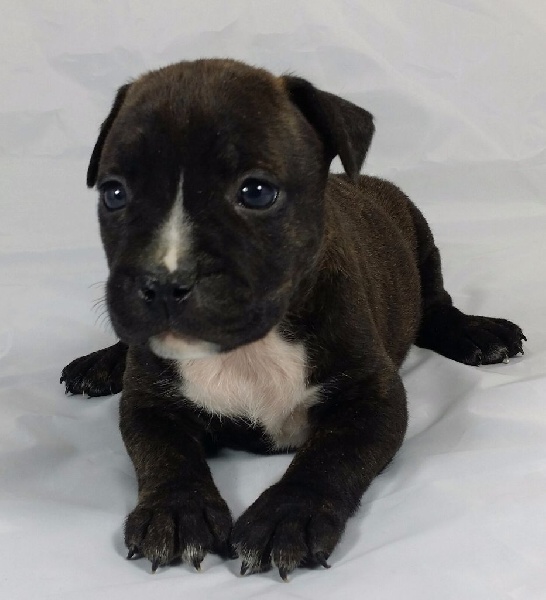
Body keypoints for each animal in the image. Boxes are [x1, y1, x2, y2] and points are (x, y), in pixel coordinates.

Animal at [61, 58, 525, 580]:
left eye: (257, 193)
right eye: (114, 194)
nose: (163, 281)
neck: (249, 346)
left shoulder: (373, 396)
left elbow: (329, 456)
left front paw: (287, 515)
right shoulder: (149, 403)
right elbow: (165, 454)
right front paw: (177, 510)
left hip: (422, 241)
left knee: (438, 306)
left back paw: (476, 332)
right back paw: (102, 362)